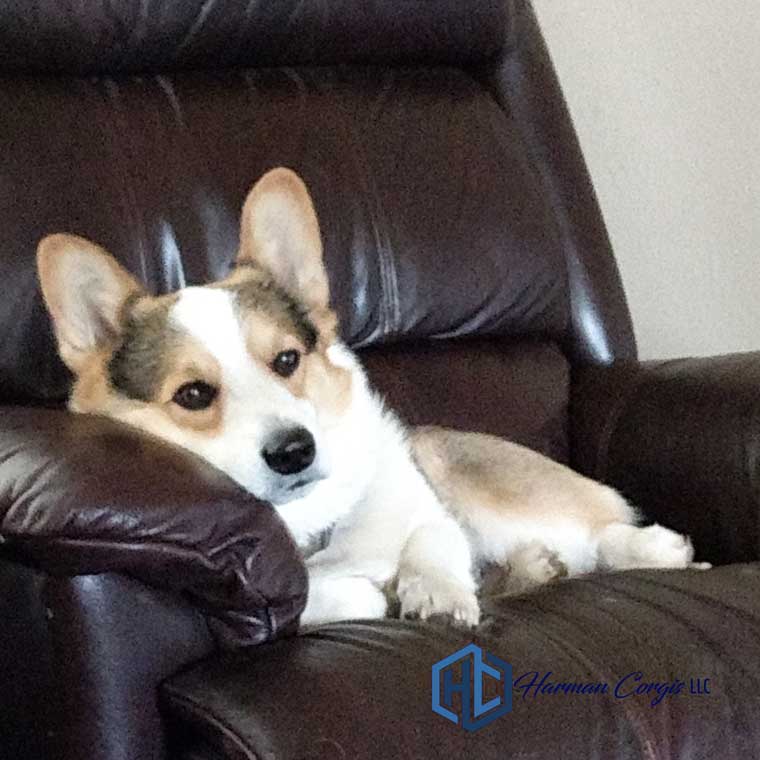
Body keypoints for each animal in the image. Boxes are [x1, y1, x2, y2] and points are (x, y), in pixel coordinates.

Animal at [35, 169, 708, 628]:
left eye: (287, 360)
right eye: (194, 394)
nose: (295, 451)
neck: (314, 523)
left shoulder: (429, 511)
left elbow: (432, 537)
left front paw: (437, 593)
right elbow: (340, 592)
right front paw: (385, 590)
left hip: (457, 465)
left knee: (597, 528)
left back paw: (649, 548)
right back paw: (532, 568)